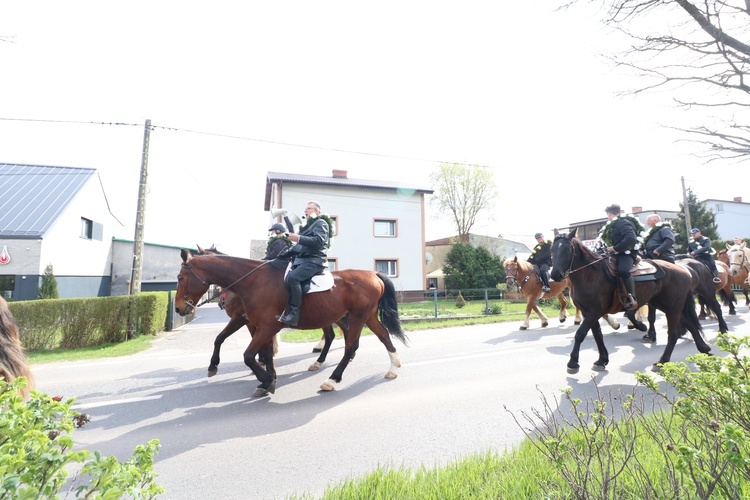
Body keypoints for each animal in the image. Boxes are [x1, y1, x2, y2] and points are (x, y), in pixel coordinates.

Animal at [175, 252, 412, 396]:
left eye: (179, 277)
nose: (178, 308)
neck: (253, 282)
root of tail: (374, 274)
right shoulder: (260, 326)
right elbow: (262, 353)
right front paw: (267, 379)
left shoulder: (265, 326)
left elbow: (249, 355)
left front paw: (267, 380)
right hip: (366, 316)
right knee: (383, 336)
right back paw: (393, 367)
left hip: (357, 317)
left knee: (350, 346)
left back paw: (332, 379)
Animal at [548, 229, 712, 374]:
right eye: (552, 249)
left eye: (567, 248)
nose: (555, 275)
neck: (590, 274)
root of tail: (684, 270)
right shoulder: (588, 312)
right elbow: (597, 335)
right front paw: (602, 360)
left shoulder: (594, 312)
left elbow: (580, 334)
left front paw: (573, 363)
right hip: (667, 306)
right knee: (690, 325)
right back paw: (704, 349)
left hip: (673, 307)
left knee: (673, 333)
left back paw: (662, 361)